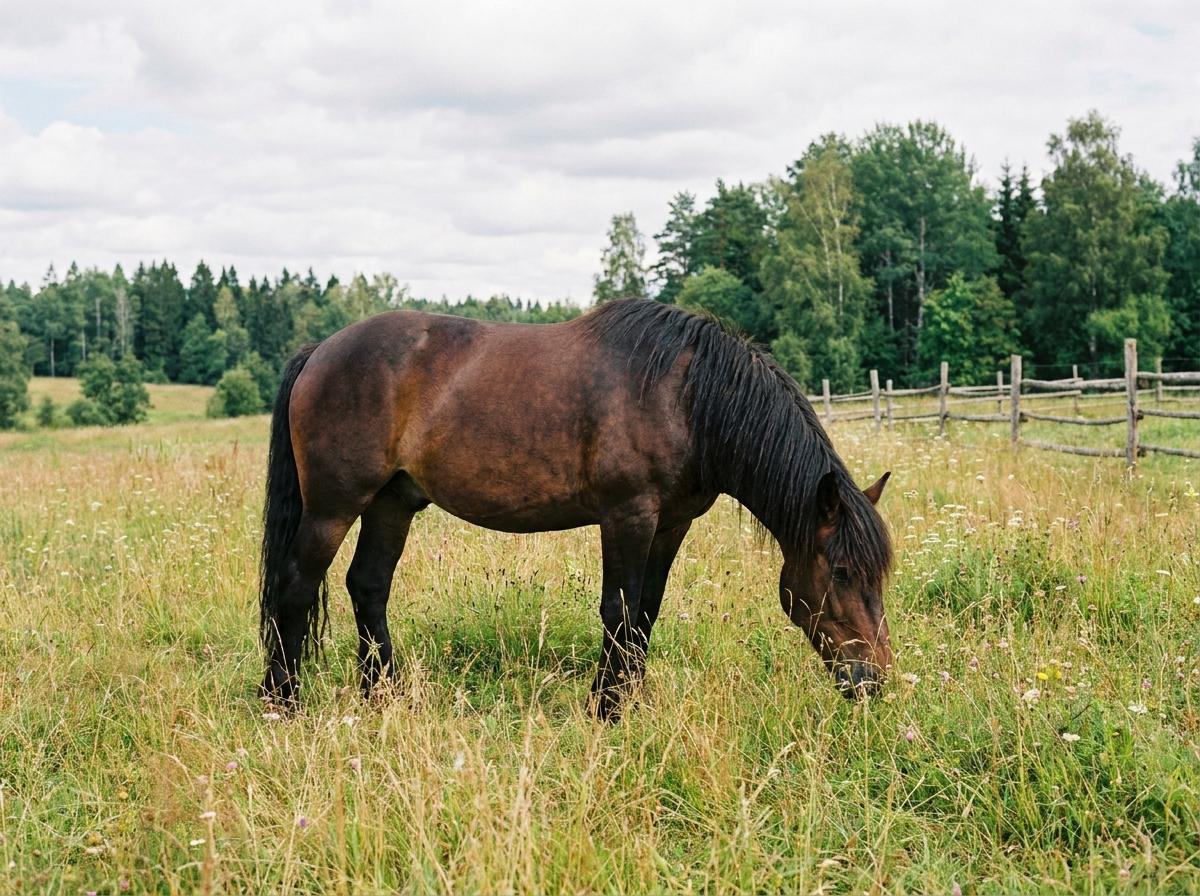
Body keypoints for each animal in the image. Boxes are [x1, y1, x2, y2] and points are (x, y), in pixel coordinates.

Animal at [259, 299, 893, 720]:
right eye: (841, 572)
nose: (875, 682)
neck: (685, 397)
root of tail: (320, 351)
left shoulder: (672, 523)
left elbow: (645, 613)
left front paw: (629, 700)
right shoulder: (627, 515)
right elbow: (619, 611)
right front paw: (606, 709)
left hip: (392, 503)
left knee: (368, 586)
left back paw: (385, 698)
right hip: (333, 507)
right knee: (294, 588)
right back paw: (283, 703)